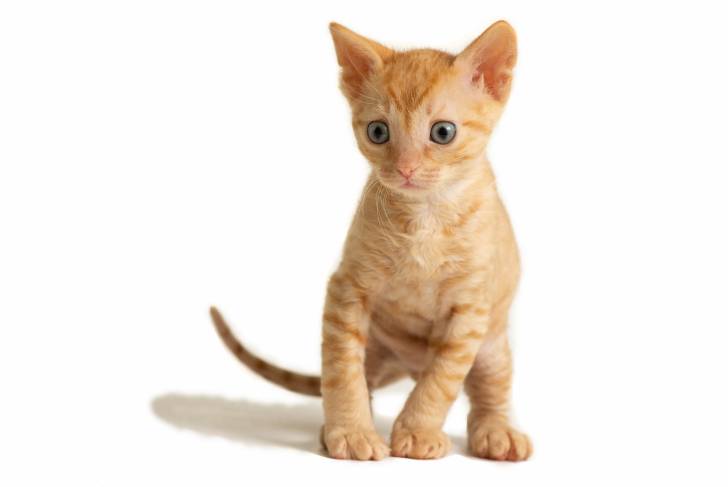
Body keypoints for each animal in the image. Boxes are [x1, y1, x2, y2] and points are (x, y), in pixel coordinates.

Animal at [210, 20, 530, 461]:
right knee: (362, 378)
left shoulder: (470, 311)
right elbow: (341, 371)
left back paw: (497, 431)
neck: (425, 216)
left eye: (442, 132)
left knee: (489, 387)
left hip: (492, 343)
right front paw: (351, 432)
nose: (406, 168)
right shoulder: (346, 289)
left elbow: (441, 380)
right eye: (378, 132)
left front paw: (417, 431)